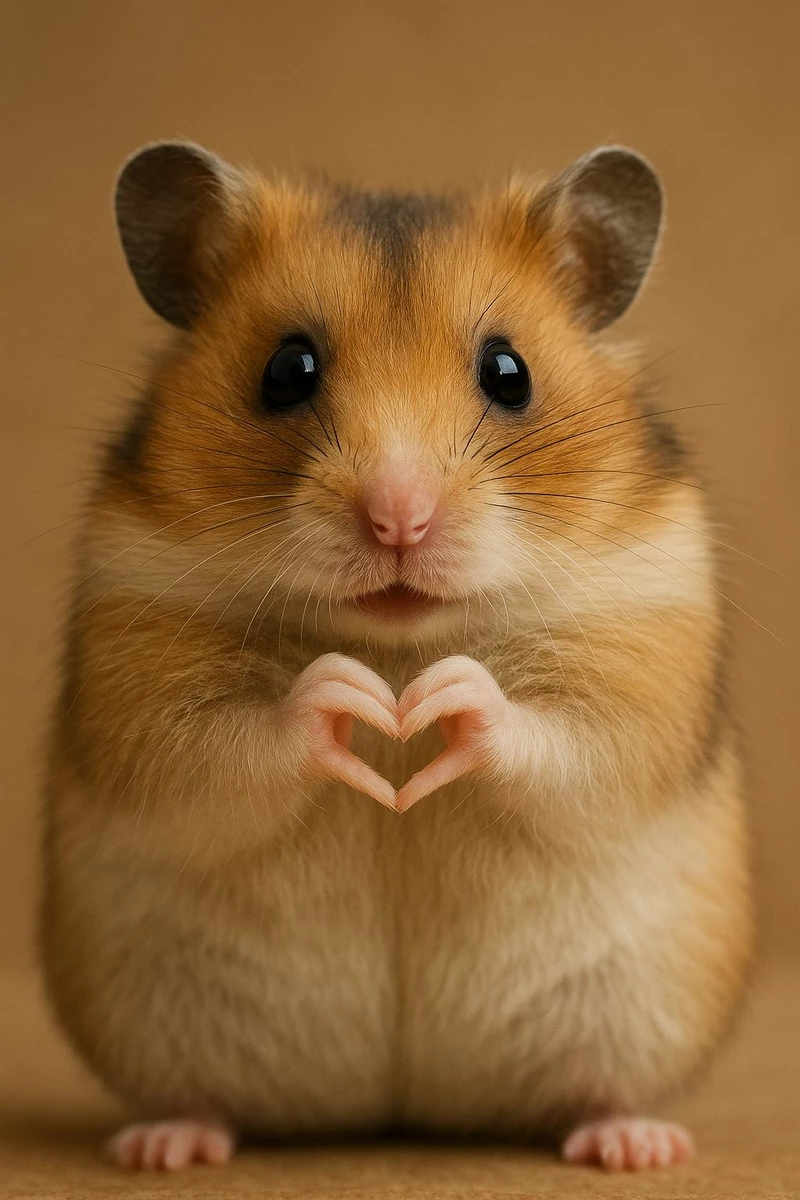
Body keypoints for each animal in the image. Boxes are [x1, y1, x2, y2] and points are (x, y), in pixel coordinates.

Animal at [41, 140, 752, 1173]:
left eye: (509, 372)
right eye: (286, 369)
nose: (398, 520)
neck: (400, 638)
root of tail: (399, 1107)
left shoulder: (642, 660)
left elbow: (567, 737)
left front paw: (432, 703)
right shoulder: (135, 668)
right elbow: (218, 747)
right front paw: (364, 702)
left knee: (600, 1090)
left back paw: (635, 1145)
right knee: (201, 1096)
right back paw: (164, 1147)